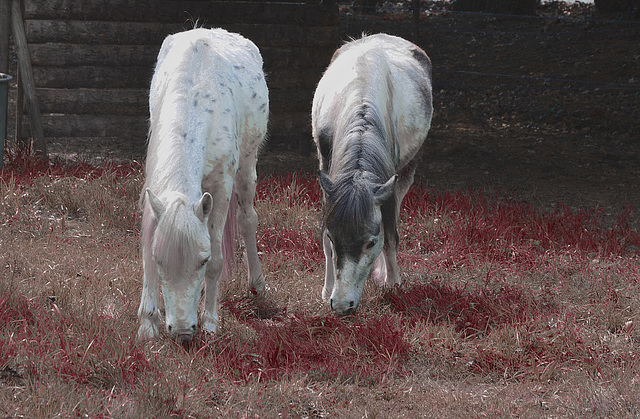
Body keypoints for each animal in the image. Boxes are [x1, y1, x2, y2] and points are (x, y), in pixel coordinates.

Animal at [139, 28, 268, 344]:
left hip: (247, 167)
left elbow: (218, 261)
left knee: (247, 220)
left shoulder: (221, 187)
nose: (182, 333)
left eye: (201, 260)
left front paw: (210, 322)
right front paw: (148, 324)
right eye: (161, 261)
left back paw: (257, 284)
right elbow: (147, 247)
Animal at [312, 33, 432, 316]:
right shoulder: (327, 178)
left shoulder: (387, 184)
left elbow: (390, 236)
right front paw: (325, 291)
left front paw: (393, 283)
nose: (342, 305)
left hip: (407, 173)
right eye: (334, 237)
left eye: (370, 242)